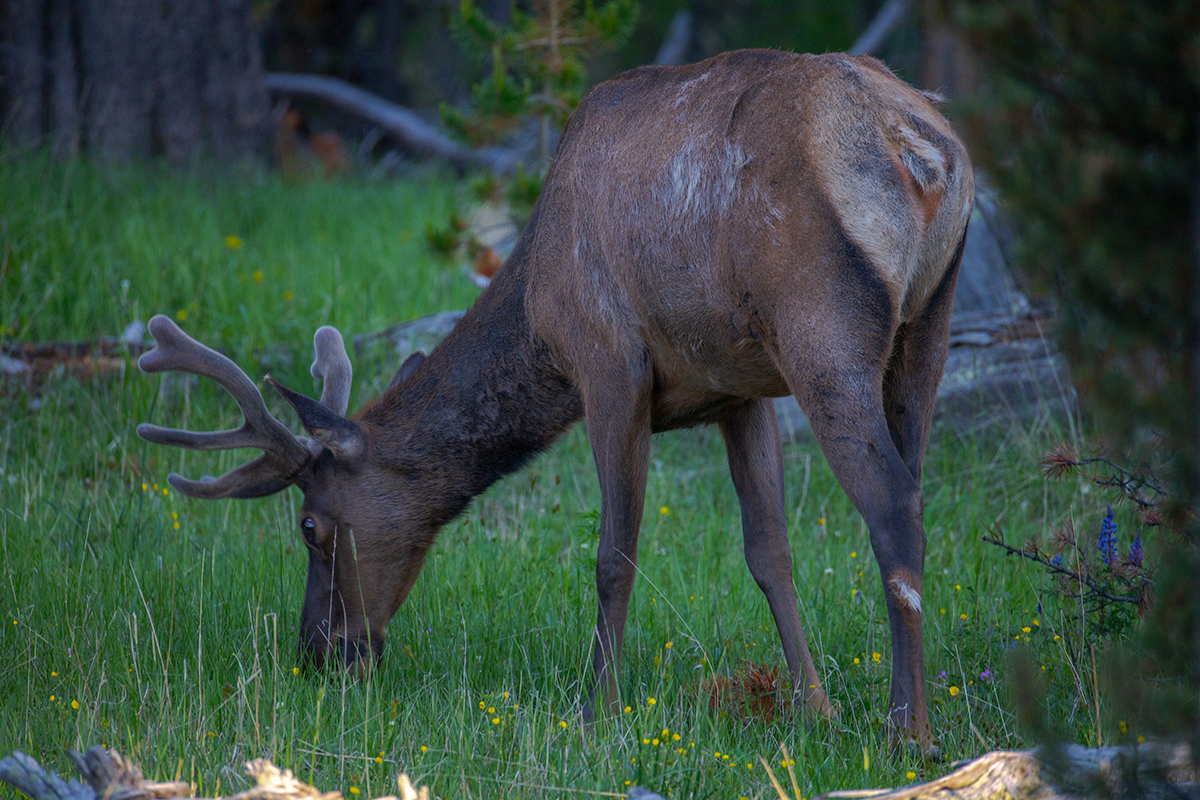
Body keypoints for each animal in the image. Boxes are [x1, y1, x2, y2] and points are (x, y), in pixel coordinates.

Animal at [137, 50, 973, 753]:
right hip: (926, 328)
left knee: (893, 503)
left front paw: (595, 713)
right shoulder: (737, 388)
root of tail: (927, 155)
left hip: (821, 329)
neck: (536, 310)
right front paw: (814, 707)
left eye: (310, 525)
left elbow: (613, 555)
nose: (319, 651)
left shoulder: (608, 361)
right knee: (915, 487)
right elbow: (769, 551)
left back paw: (910, 732)